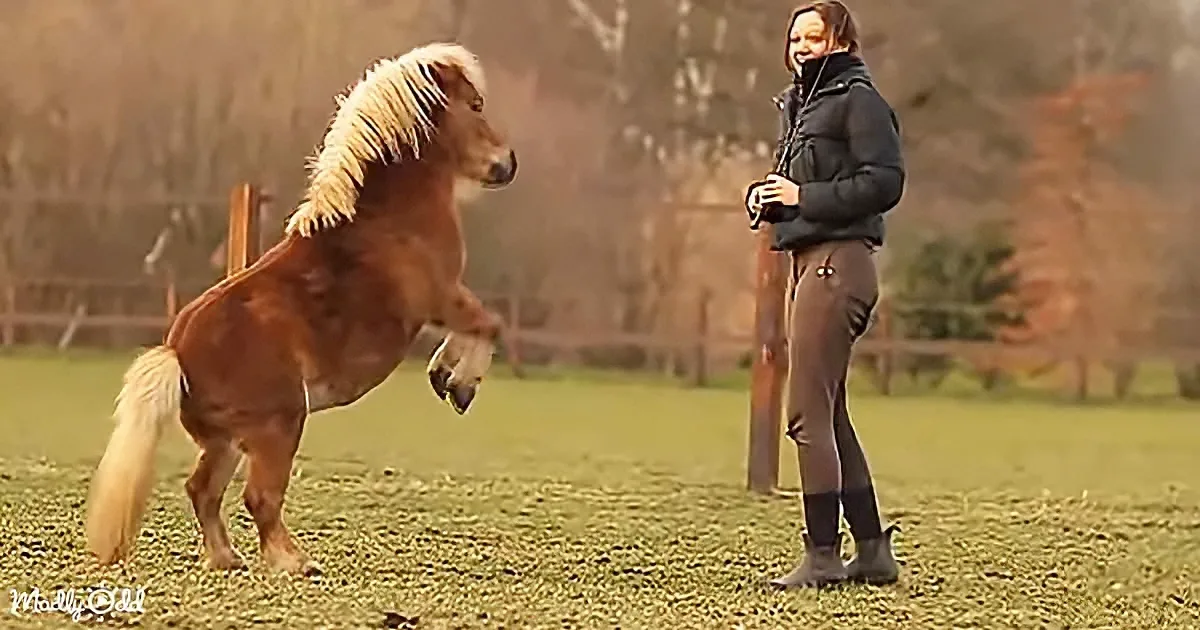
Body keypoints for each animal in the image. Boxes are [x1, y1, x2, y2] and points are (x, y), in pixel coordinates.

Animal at [84, 42, 517, 576]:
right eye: (475, 105)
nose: (507, 163)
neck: (386, 216)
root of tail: (177, 355)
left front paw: (445, 376)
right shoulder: (442, 297)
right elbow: (489, 324)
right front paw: (458, 384)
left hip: (228, 442)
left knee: (202, 490)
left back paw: (227, 559)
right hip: (281, 425)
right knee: (259, 498)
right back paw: (295, 562)